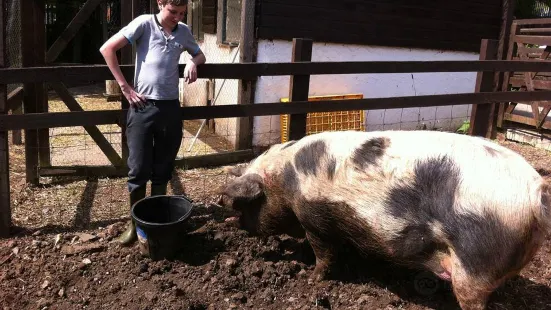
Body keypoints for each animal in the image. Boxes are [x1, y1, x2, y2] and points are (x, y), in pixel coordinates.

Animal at [217, 130, 551, 308]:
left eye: (247, 205)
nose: (236, 225)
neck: (286, 180)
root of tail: (535, 192)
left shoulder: (315, 218)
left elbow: (324, 253)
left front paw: (311, 278)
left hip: (475, 262)